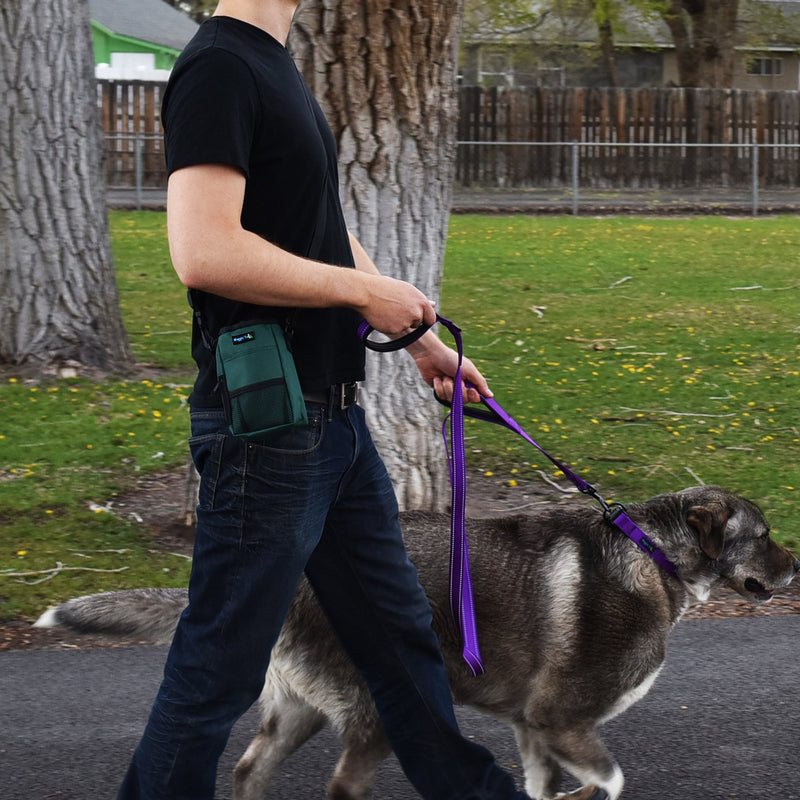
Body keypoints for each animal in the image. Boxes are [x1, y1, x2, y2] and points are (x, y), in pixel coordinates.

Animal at [39, 484, 800, 800]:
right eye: (763, 535)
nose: (797, 566)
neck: (655, 554)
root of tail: (296, 575)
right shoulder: (561, 719)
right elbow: (608, 782)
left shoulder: (533, 728)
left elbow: (545, 788)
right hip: (380, 705)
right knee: (343, 784)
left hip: (299, 708)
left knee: (250, 769)